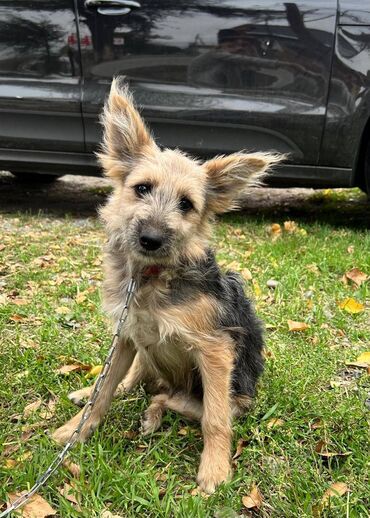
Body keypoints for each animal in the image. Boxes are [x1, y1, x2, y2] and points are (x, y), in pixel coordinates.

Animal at [52, 78, 282, 496]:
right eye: (142, 188)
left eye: (187, 204)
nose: (151, 239)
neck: (151, 277)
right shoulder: (127, 333)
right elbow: (103, 392)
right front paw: (74, 431)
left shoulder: (215, 351)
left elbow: (214, 419)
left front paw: (214, 469)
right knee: (132, 379)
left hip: (230, 393)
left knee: (172, 397)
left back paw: (154, 411)